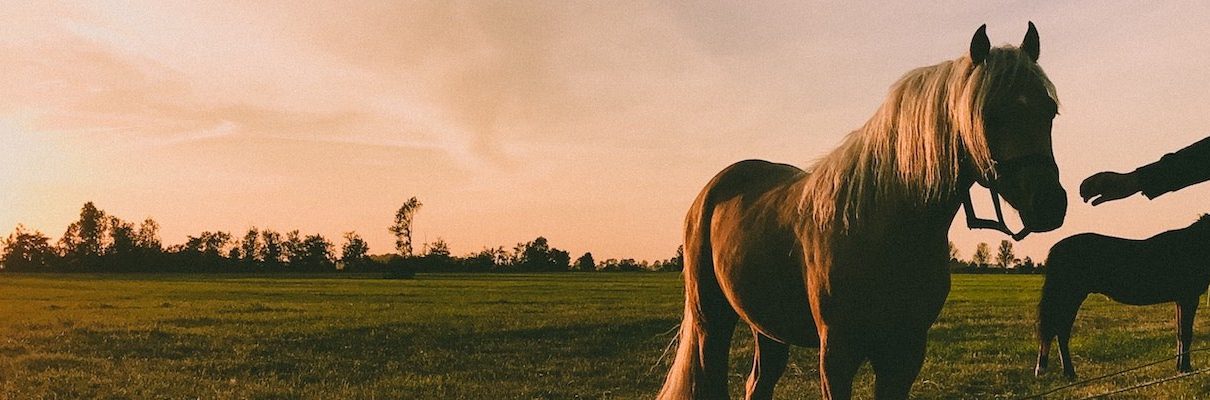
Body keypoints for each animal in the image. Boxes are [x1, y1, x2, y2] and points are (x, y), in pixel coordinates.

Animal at [658, 22, 1064, 400]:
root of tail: (711, 193)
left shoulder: (905, 352)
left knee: (758, 382)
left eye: (1050, 111)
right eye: (989, 113)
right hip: (711, 323)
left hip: (767, 327)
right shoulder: (837, 353)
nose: (1050, 203)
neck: (884, 228)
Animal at [1035, 215, 1210, 381]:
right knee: (1060, 332)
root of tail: (1056, 248)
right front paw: (1186, 368)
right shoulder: (1188, 298)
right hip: (1071, 297)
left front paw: (1180, 367)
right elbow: (1186, 334)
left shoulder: (1181, 300)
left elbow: (1179, 334)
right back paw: (1068, 373)